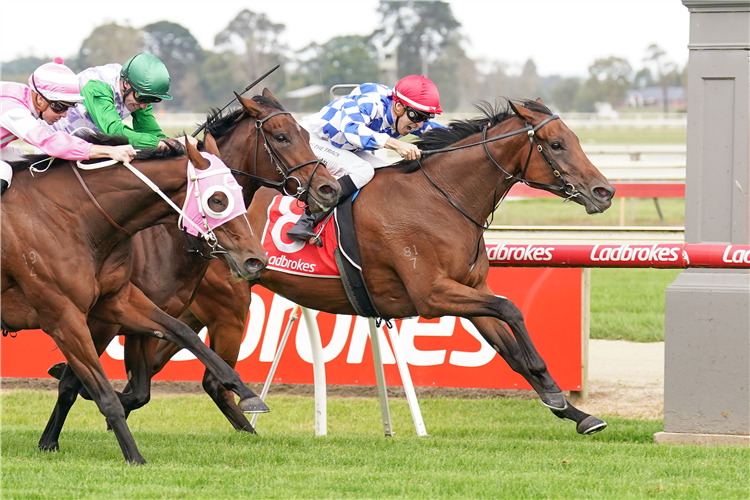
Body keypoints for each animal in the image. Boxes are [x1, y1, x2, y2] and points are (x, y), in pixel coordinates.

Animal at [0, 134, 268, 464]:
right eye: (217, 200)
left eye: (240, 195)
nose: (255, 260)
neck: (70, 217)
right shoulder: (64, 317)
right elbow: (100, 393)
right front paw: (134, 456)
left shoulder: (117, 301)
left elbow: (183, 333)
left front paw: (247, 393)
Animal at [42, 90, 342, 442]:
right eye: (281, 137)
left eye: (306, 135)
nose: (329, 189)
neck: (169, 233)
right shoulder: (103, 319)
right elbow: (73, 384)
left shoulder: (150, 316)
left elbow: (139, 390)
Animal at [135, 97, 616, 434]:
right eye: (556, 144)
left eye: (574, 139)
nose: (604, 191)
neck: (441, 197)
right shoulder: (433, 294)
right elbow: (512, 309)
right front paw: (556, 394)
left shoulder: (469, 290)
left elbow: (513, 350)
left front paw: (575, 411)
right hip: (230, 305)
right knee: (212, 379)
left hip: (197, 306)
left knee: (168, 367)